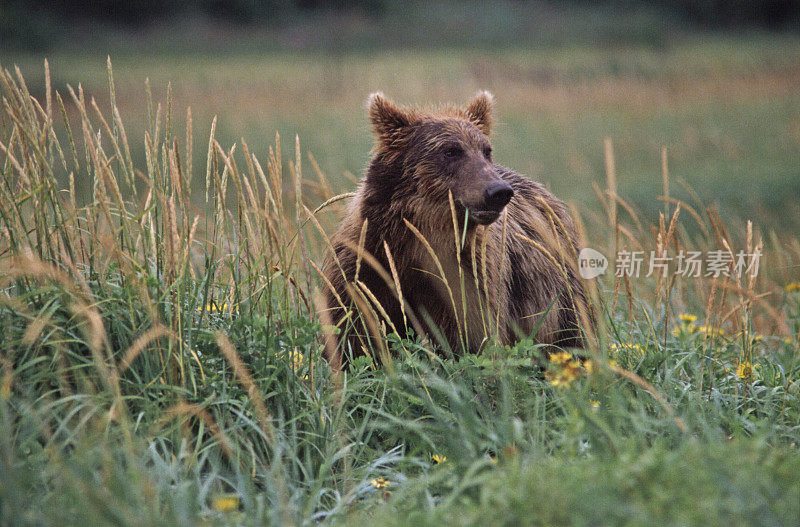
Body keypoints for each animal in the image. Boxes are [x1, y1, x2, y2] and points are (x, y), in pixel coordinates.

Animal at [320, 91, 592, 370]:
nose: (498, 191)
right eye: (450, 150)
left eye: (486, 150)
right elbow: (354, 335)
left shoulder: (470, 278)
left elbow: (470, 339)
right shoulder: (367, 267)